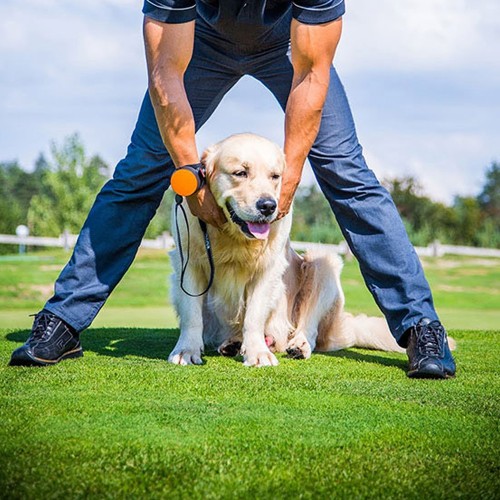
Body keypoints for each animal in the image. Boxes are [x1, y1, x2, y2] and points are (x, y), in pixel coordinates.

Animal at [168, 133, 406, 368]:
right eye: (241, 173)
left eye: (275, 176)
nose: (268, 206)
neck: (234, 238)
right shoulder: (187, 265)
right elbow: (192, 315)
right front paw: (186, 351)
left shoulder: (268, 270)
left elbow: (254, 316)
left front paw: (257, 353)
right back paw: (232, 343)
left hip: (323, 264)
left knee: (308, 328)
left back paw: (298, 346)